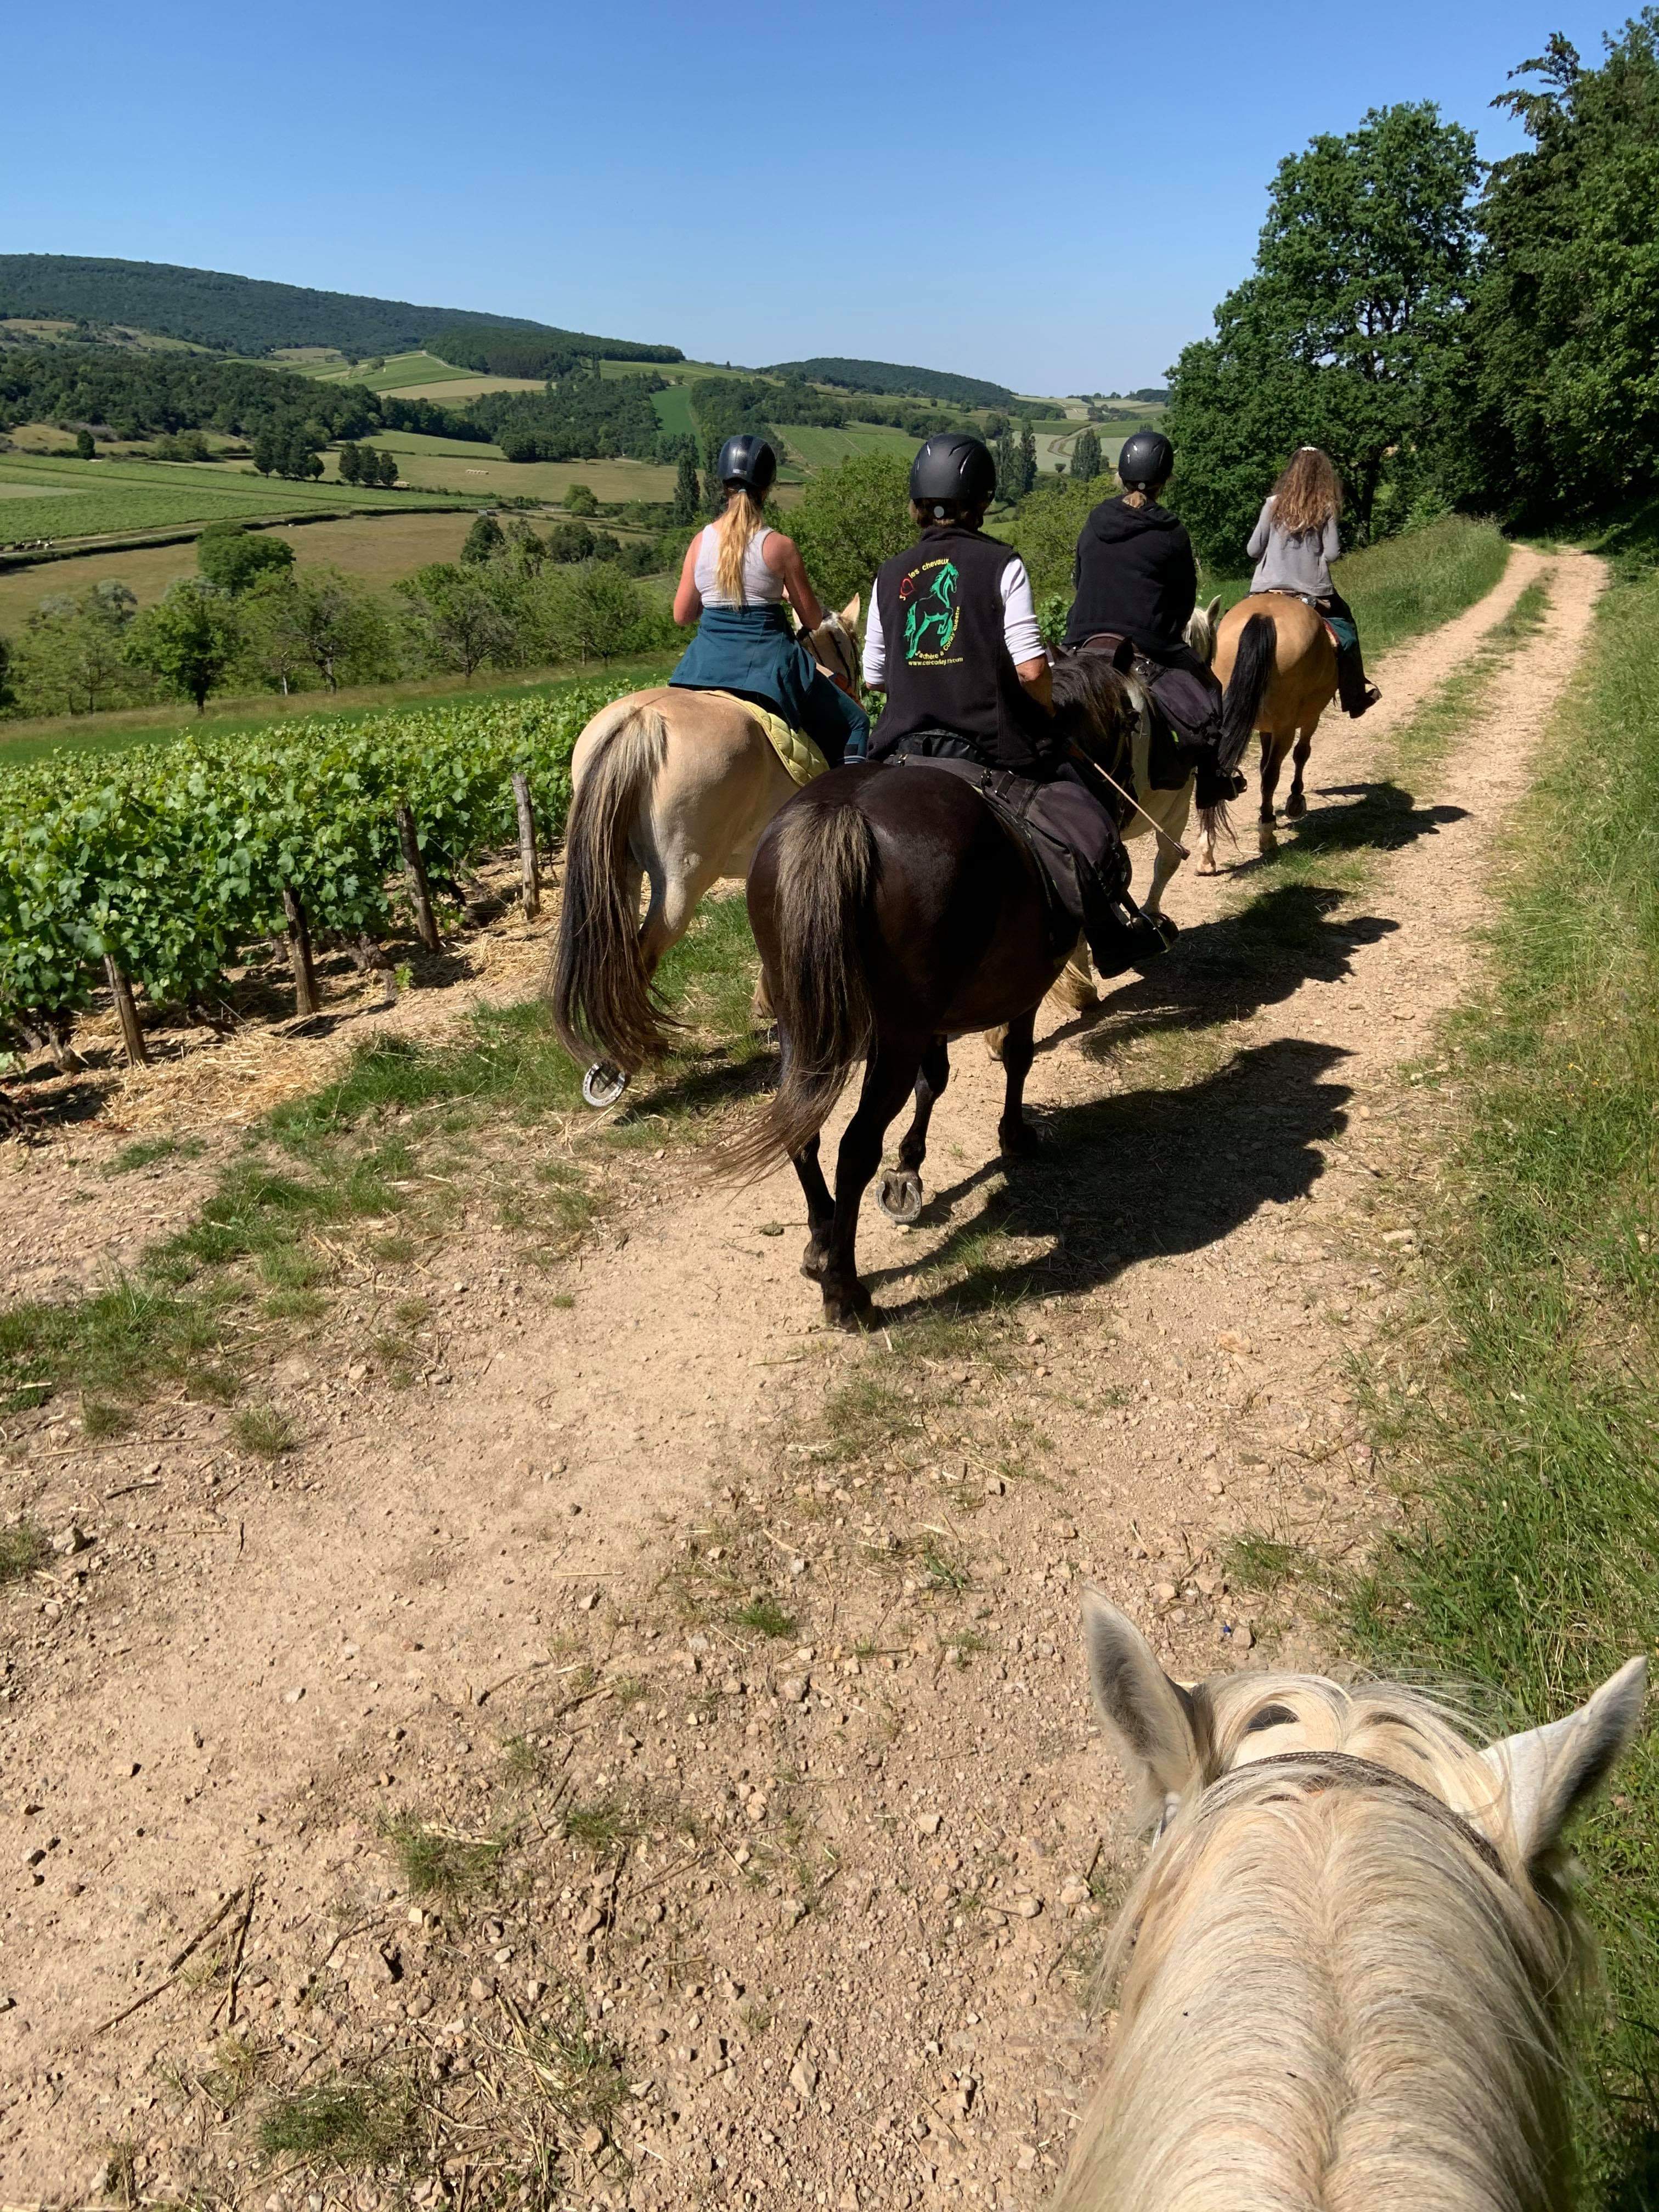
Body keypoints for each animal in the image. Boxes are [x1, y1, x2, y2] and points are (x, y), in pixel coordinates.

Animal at [549, 602, 861, 1106]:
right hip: (682, 884)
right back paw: (637, 1054)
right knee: (642, 954)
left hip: (618, 871)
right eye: (852, 646)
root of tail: (641, 722)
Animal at [727, 655, 1140, 1328]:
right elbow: (1016, 1058)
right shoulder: (1019, 991)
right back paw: (846, 1290)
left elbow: (936, 1081)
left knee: (801, 1128)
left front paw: (909, 1171)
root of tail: (841, 813)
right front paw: (1014, 1136)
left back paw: (821, 1242)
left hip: (802, 1021)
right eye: (1132, 717)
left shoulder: (933, 1020)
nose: (1127, 787)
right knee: (852, 1147)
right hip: (892, 1036)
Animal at [1210, 593, 1339, 858]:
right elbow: (1301, 754)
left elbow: (1261, 766)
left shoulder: (1266, 728)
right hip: (1287, 727)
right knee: (1273, 773)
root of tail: (1264, 616)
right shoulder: (1311, 717)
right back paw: (1267, 834)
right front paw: (1295, 801)